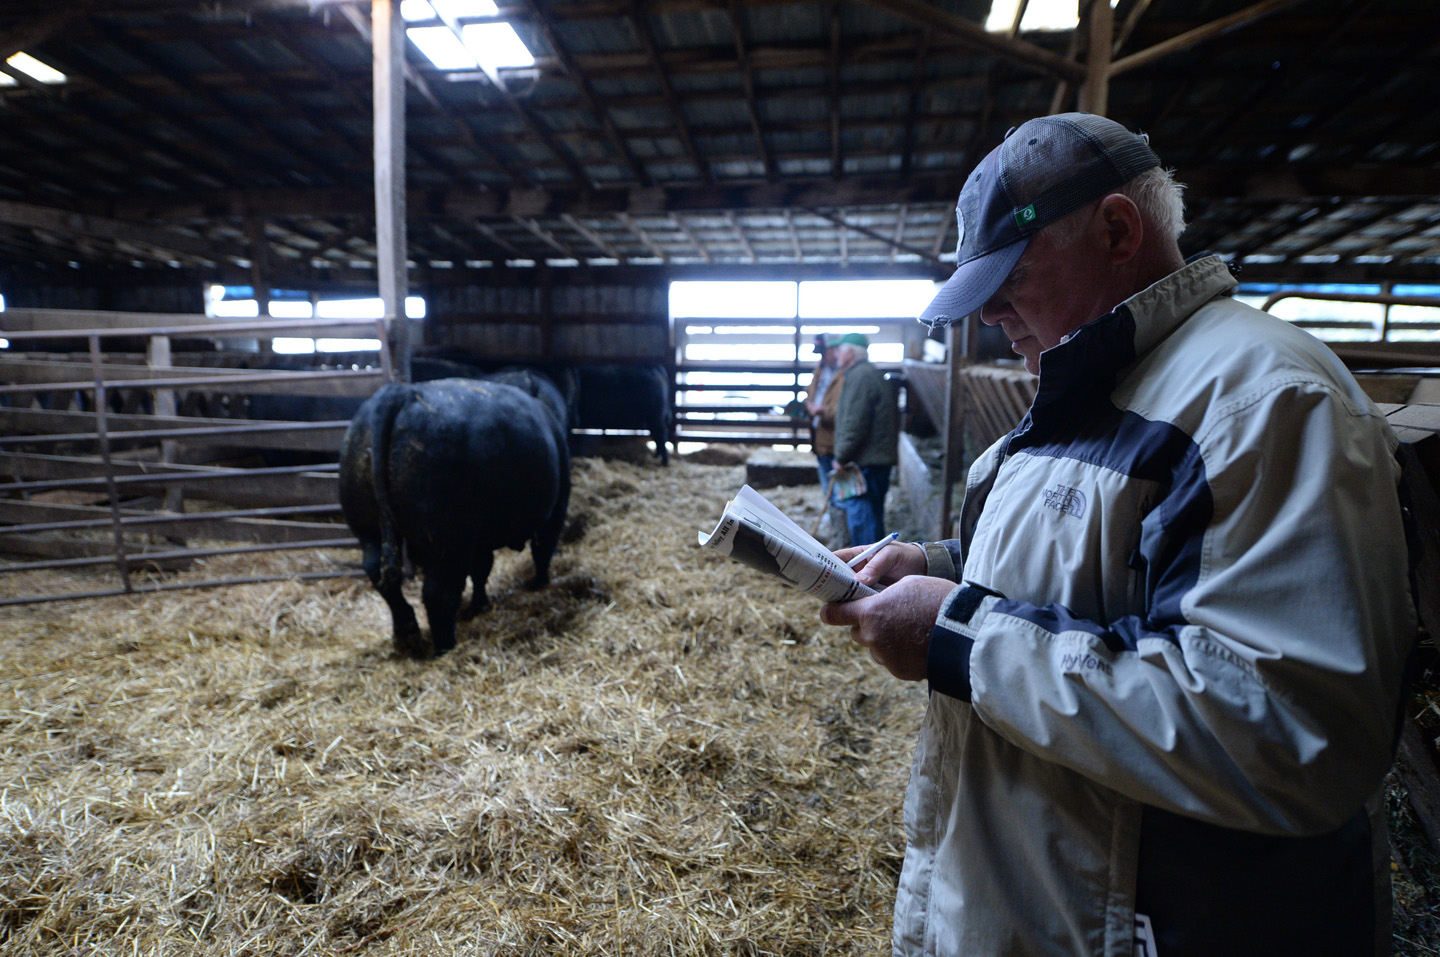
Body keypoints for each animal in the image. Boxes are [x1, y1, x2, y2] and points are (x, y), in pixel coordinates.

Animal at [339, 371, 570, 656]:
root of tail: (399, 392)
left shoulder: (479, 536)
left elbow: (482, 569)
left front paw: (480, 604)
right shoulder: (555, 509)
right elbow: (542, 551)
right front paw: (539, 583)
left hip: (368, 527)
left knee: (380, 576)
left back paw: (406, 634)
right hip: (446, 540)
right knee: (438, 593)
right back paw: (445, 646)